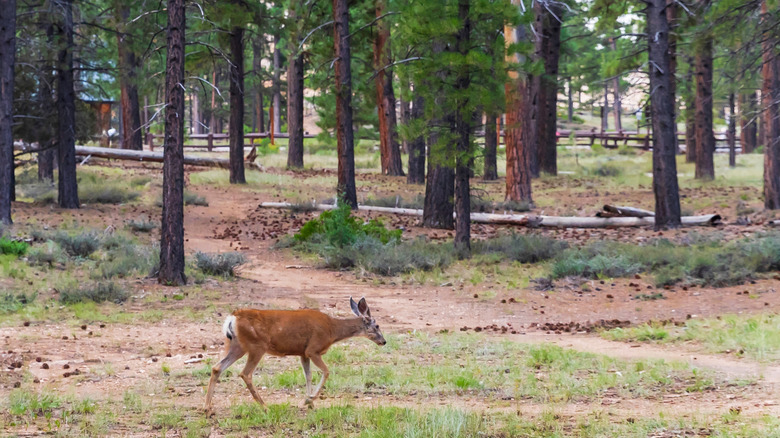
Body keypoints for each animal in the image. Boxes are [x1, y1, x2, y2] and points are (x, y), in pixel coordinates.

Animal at [201, 296, 384, 412]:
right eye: (377, 326)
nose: (384, 341)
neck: (332, 330)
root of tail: (233, 317)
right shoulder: (313, 349)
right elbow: (326, 372)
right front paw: (309, 400)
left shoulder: (303, 353)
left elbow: (308, 375)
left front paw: (309, 403)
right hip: (256, 346)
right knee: (245, 373)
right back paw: (265, 406)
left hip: (236, 345)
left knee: (217, 368)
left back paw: (208, 408)